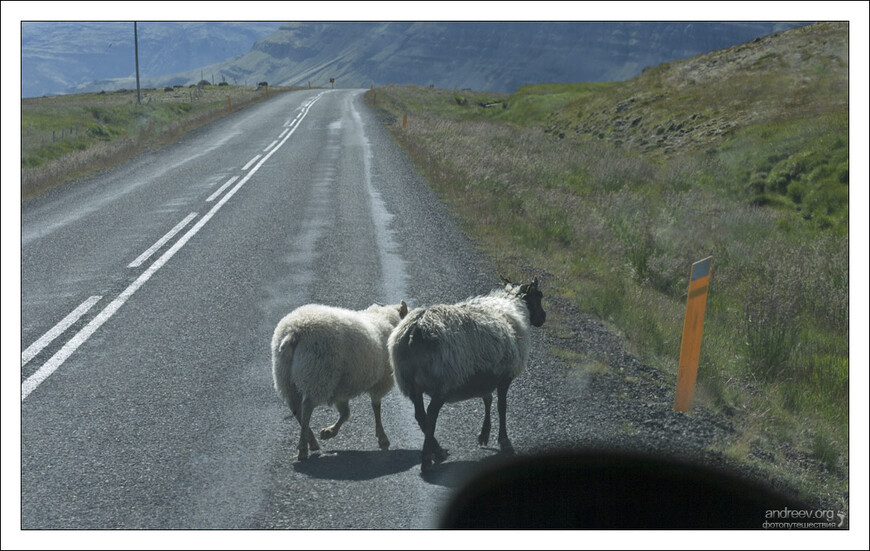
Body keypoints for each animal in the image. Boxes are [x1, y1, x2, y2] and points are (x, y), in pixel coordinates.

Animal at [272, 302, 408, 462]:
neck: (386, 318)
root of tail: (294, 331)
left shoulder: (341, 388)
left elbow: (345, 413)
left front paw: (329, 432)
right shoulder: (380, 382)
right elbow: (376, 408)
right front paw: (382, 436)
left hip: (285, 377)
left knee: (295, 408)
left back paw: (311, 441)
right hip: (319, 374)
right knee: (306, 407)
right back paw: (304, 448)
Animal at [388, 278, 544, 472]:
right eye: (539, 296)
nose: (543, 317)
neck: (513, 305)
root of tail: (415, 330)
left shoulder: (485, 373)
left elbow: (487, 399)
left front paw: (484, 433)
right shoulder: (505, 375)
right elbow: (501, 406)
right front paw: (504, 441)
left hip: (410, 383)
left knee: (421, 416)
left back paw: (437, 451)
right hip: (442, 381)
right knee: (431, 415)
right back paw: (427, 460)